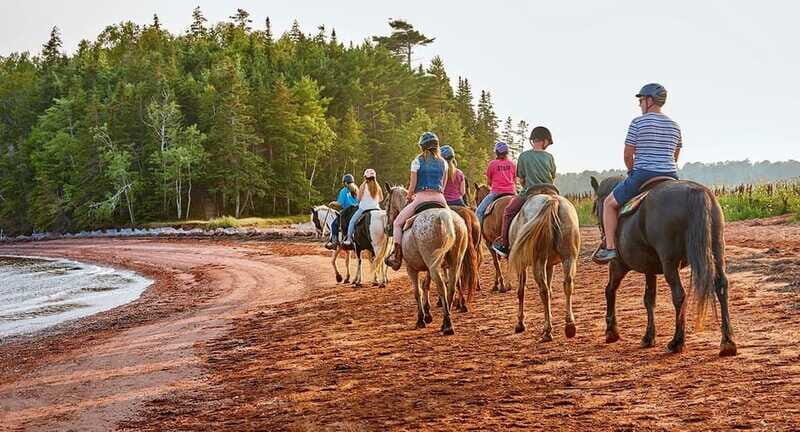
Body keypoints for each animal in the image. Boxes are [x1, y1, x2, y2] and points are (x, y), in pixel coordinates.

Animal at [384, 185, 469, 335]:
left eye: (387, 201)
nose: (388, 228)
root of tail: (445, 217)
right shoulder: (428, 266)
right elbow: (426, 285)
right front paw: (428, 314)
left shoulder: (411, 268)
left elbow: (417, 291)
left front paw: (421, 319)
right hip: (454, 262)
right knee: (452, 286)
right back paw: (446, 321)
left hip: (434, 265)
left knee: (442, 287)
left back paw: (447, 325)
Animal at [507, 191, 581, 342]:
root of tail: (553, 200)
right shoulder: (550, 265)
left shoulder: (521, 265)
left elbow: (521, 291)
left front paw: (520, 324)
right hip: (568, 257)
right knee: (568, 284)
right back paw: (570, 325)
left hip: (538, 261)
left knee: (544, 291)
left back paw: (547, 331)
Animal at [590, 176, 737, 356]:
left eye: (594, 207)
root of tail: (694, 191)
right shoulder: (649, 268)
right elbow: (649, 299)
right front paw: (648, 337)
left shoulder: (618, 264)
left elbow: (610, 290)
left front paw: (612, 331)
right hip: (716, 251)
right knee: (721, 286)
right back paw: (727, 342)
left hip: (669, 263)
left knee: (679, 295)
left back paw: (677, 342)